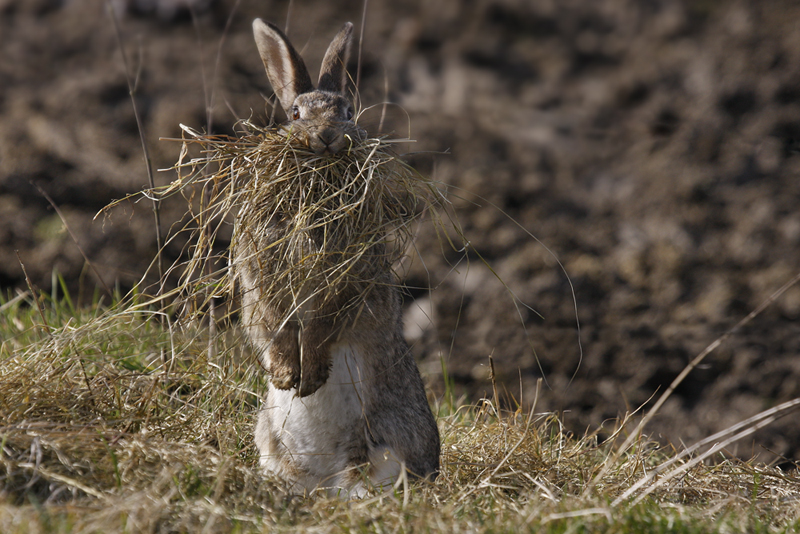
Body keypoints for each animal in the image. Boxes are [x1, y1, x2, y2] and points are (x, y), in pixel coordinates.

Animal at [234, 19, 440, 498]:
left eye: (347, 111)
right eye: (294, 114)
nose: (325, 136)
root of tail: (323, 482)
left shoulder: (349, 282)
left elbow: (324, 324)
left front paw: (308, 376)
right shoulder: (259, 275)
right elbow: (272, 324)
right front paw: (286, 376)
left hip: (386, 445)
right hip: (270, 438)